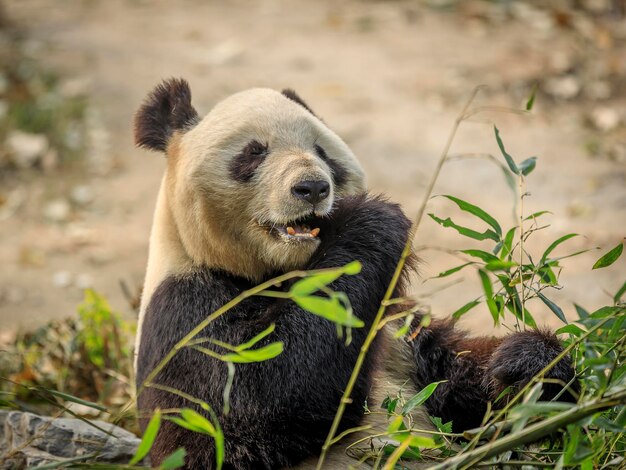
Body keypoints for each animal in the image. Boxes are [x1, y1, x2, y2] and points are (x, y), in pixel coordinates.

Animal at [133, 79, 576, 468]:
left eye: (322, 151)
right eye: (254, 152)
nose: (312, 187)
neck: (279, 272)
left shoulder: (397, 328)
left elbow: (457, 382)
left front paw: (531, 366)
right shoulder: (184, 310)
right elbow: (246, 407)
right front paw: (372, 220)